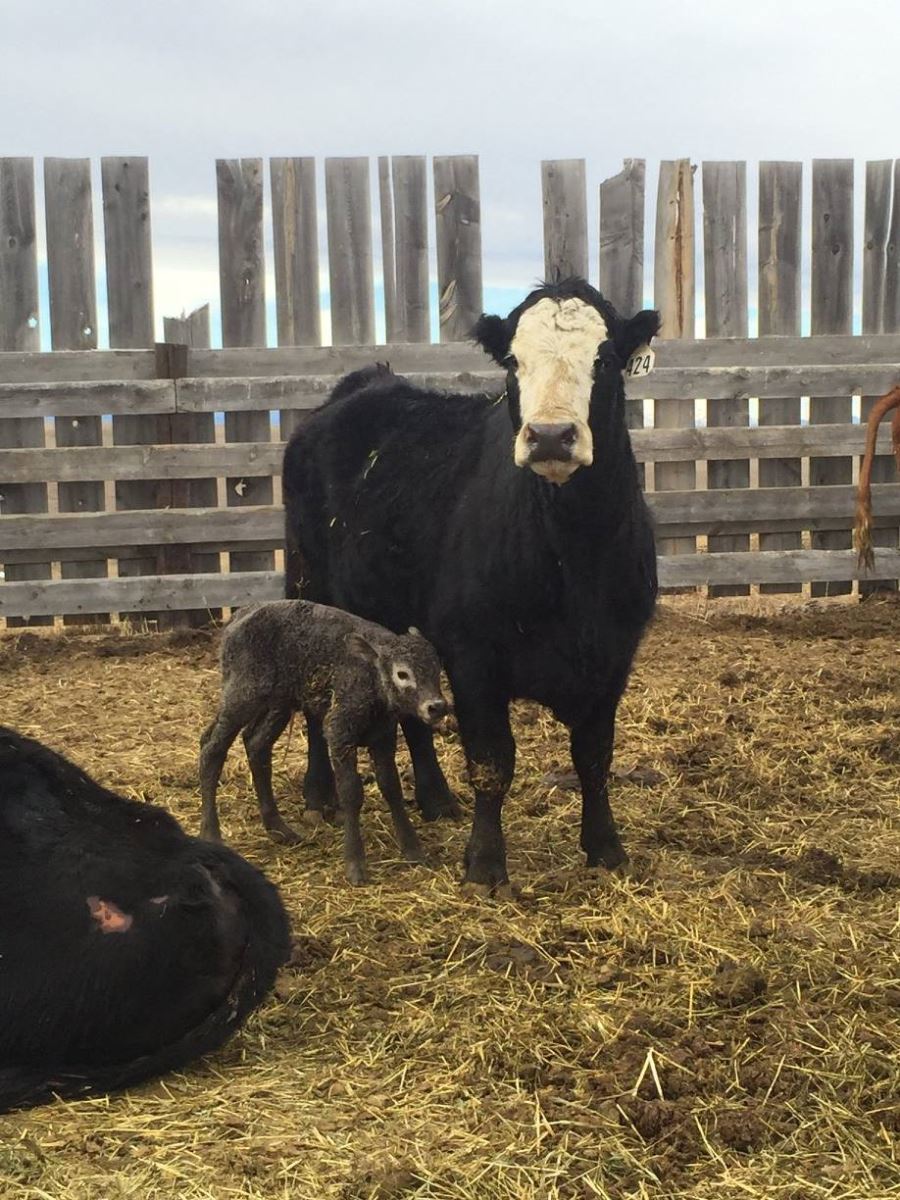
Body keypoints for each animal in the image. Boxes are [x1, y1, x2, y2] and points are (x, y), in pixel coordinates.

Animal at [199, 600, 448, 883]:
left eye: (436, 669)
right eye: (402, 673)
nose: (436, 706)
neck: (370, 674)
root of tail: (239, 616)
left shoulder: (383, 739)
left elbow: (391, 788)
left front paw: (414, 850)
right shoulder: (339, 732)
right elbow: (351, 792)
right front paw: (355, 865)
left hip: (279, 703)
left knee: (256, 744)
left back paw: (281, 830)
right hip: (242, 695)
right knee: (212, 748)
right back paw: (212, 834)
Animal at [285, 276, 667, 888]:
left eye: (605, 358)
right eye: (513, 361)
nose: (551, 435)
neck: (571, 557)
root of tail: (366, 384)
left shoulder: (613, 657)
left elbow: (594, 757)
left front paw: (605, 848)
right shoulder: (473, 658)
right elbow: (492, 762)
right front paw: (485, 864)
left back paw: (436, 798)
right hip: (307, 587)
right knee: (315, 699)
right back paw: (319, 793)